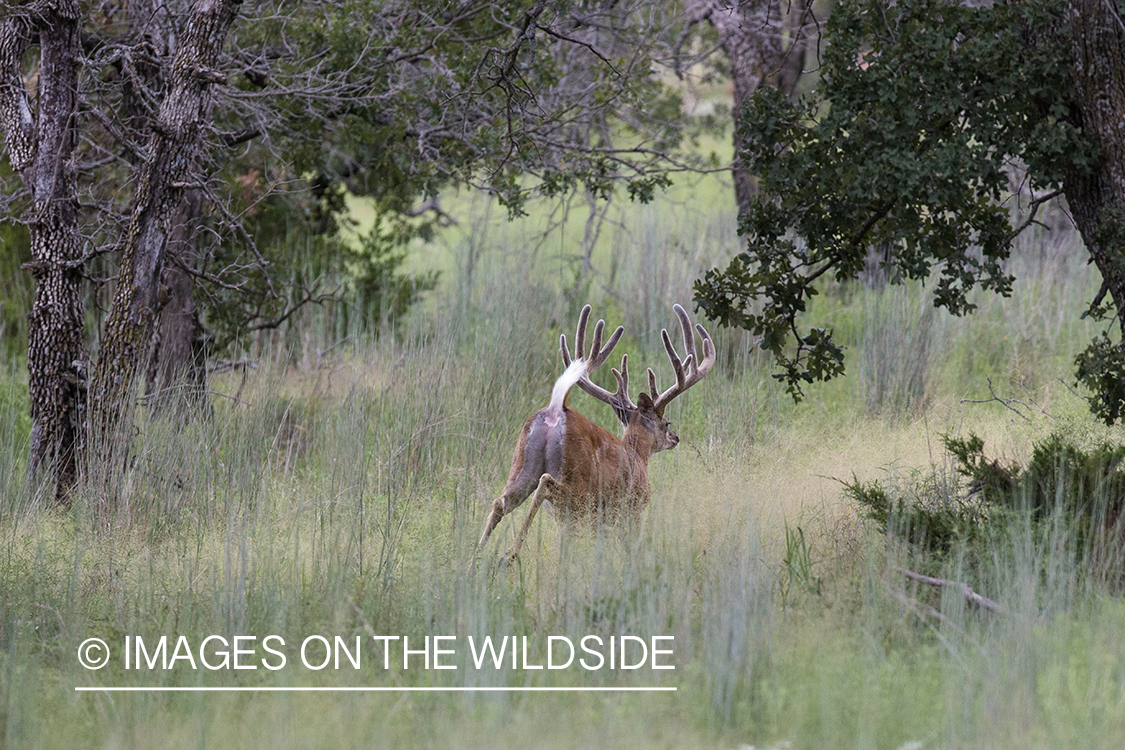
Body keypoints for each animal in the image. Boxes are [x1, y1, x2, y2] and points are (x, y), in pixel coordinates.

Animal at [474, 303, 711, 562]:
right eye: (666, 423)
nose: (675, 437)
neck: (638, 454)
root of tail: (555, 410)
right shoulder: (632, 508)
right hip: (579, 486)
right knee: (545, 484)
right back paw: (509, 554)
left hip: (523, 466)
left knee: (500, 502)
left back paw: (476, 557)